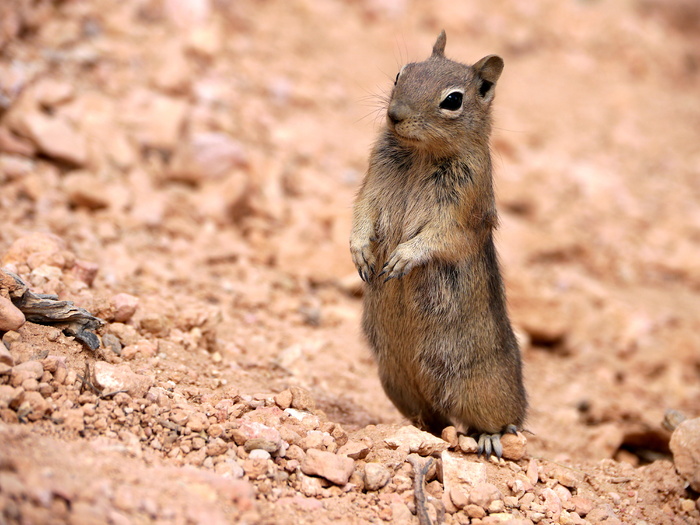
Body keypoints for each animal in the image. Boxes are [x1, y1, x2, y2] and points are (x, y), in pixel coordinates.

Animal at [350, 30, 524, 456]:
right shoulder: (371, 185)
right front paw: (360, 252)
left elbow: (439, 237)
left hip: (482, 390)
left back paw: (492, 437)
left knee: (505, 420)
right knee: (432, 417)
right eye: (402, 72)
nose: (395, 113)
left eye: (453, 100)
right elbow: (361, 214)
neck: (419, 153)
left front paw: (401, 258)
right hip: (395, 380)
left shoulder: (459, 210)